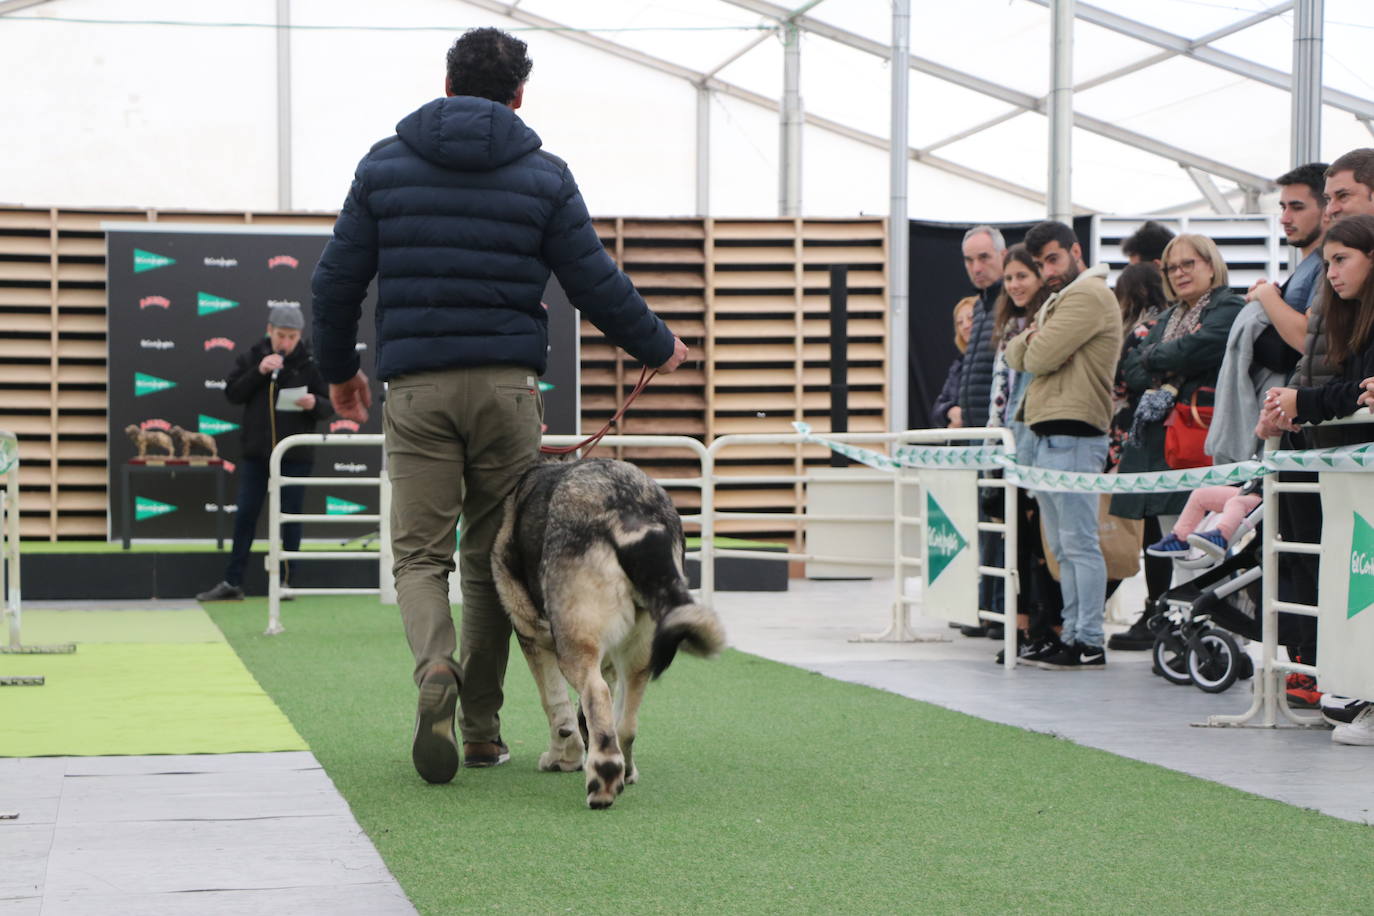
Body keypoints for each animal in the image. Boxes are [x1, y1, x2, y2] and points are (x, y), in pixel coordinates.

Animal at [494, 458, 730, 807]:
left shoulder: (531, 635)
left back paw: (603, 777)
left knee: (596, 694)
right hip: (639, 653)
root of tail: (631, 512)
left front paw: (562, 758)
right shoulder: (608, 659)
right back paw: (625, 771)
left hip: (575, 647)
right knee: (625, 723)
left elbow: (556, 706)